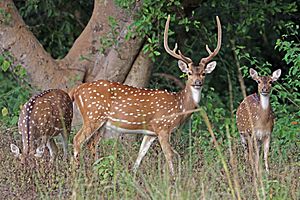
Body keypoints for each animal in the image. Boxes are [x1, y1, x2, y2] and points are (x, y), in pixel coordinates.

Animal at [69, 14, 221, 175]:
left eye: (204, 73)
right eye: (189, 73)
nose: (198, 82)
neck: (179, 106)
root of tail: (76, 90)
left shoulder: (150, 133)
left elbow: (140, 155)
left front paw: (133, 175)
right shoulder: (162, 127)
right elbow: (169, 155)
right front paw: (174, 178)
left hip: (102, 123)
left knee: (92, 144)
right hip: (93, 115)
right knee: (77, 139)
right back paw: (75, 174)